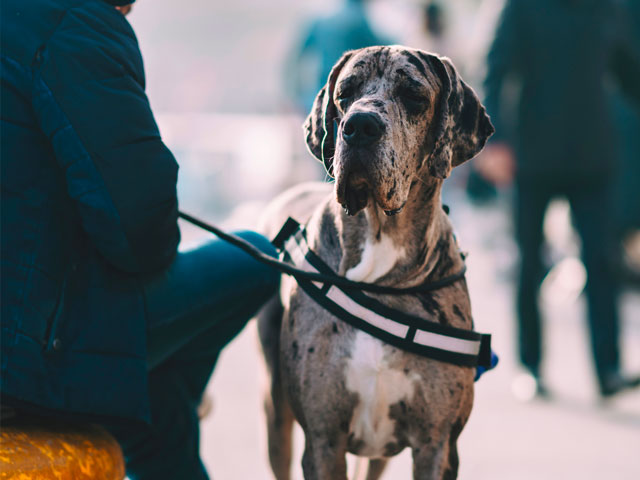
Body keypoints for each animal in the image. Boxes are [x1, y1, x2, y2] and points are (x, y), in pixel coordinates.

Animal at [258, 46, 492, 480]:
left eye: (414, 96)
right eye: (344, 94)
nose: (360, 126)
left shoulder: (438, 446)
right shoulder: (323, 442)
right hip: (275, 412)